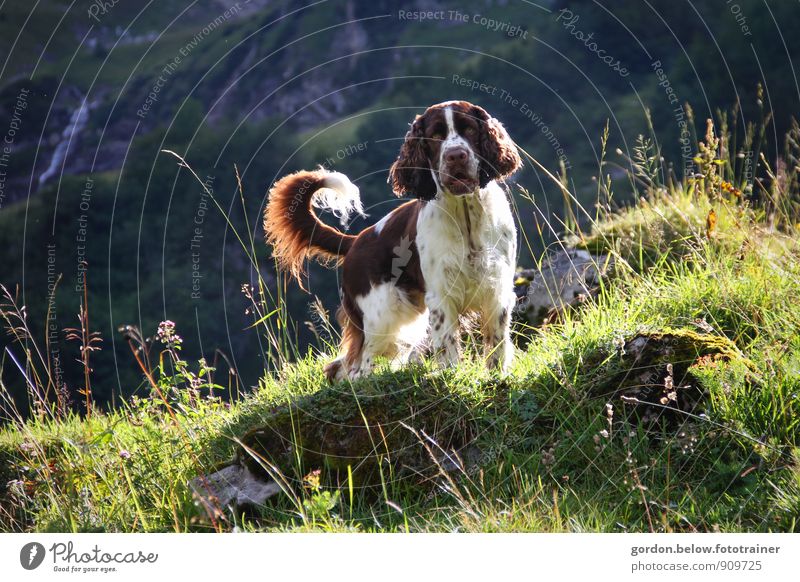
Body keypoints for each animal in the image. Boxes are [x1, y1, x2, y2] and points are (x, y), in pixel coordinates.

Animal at [266, 100, 520, 384]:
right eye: (435, 136)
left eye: (470, 130)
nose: (456, 156)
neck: (466, 216)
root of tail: (354, 242)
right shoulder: (442, 294)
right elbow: (448, 346)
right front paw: (452, 377)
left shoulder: (497, 288)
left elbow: (497, 343)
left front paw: (497, 377)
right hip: (381, 316)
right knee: (357, 366)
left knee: (341, 366)